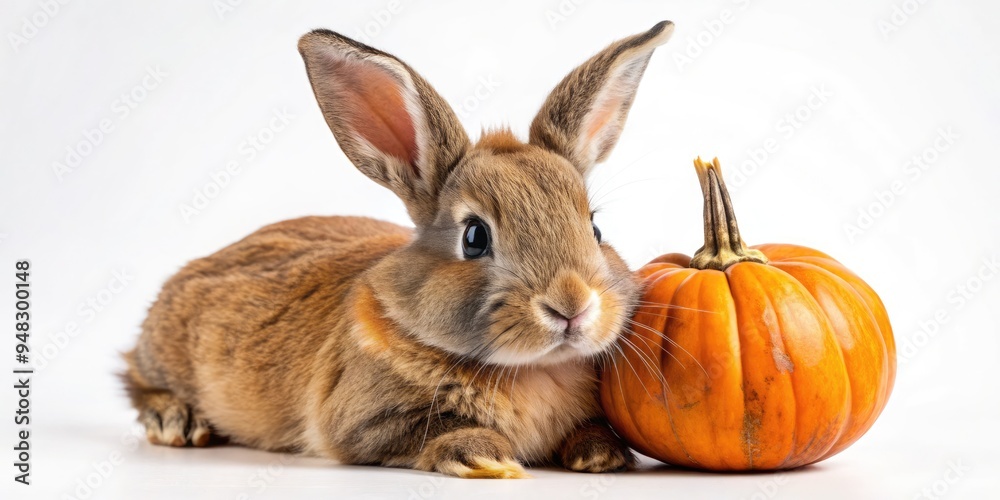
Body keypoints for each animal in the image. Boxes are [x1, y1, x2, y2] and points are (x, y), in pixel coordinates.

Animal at [121, 20, 674, 478]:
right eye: (474, 237)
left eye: (595, 227)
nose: (571, 307)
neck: (532, 368)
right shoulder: (366, 422)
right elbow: (432, 431)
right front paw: (485, 458)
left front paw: (601, 454)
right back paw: (176, 420)